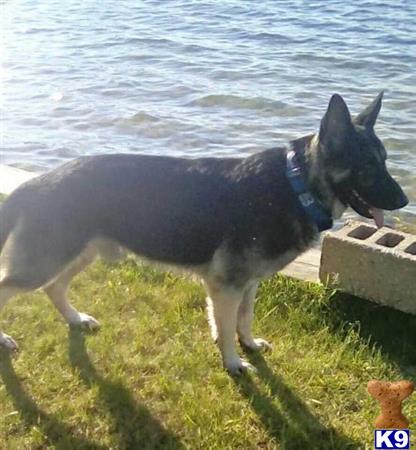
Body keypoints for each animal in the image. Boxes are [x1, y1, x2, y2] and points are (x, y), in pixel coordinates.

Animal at [0, 93, 410, 374]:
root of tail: (36, 182)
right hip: (48, 261)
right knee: (17, 287)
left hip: (80, 254)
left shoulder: (248, 284)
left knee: (54, 287)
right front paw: (233, 363)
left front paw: (248, 344)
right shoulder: (226, 286)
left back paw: (75, 319)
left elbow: (242, 319)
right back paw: (4, 339)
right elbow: (226, 328)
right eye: (367, 166)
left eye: (385, 161)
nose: (405, 200)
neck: (296, 186)